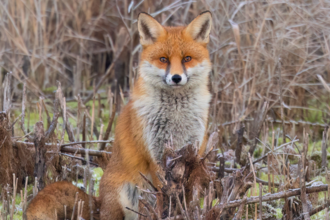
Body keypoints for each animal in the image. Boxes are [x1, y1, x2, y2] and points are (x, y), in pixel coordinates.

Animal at [25, 10, 211, 220]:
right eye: (164, 59)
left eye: (187, 58)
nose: (177, 78)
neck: (176, 114)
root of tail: (99, 203)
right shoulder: (154, 155)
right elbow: (163, 195)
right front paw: (168, 214)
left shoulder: (193, 152)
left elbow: (187, 195)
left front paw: (185, 212)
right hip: (125, 192)